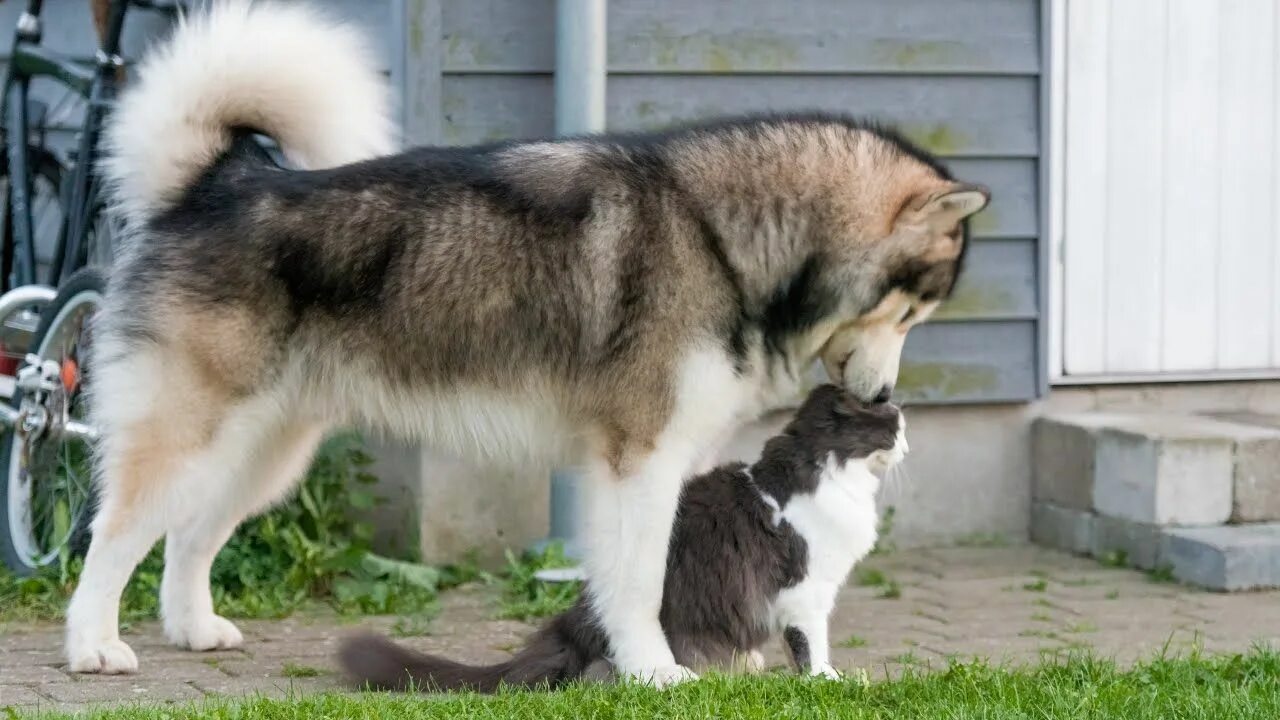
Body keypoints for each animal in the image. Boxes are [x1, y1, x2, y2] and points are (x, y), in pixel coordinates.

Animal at [335, 381, 906, 691]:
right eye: (895, 427)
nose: (906, 447)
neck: (828, 470)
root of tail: (575, 620)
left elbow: (799, 646)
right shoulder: (807, 591)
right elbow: (811, 645)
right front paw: (827, 680)